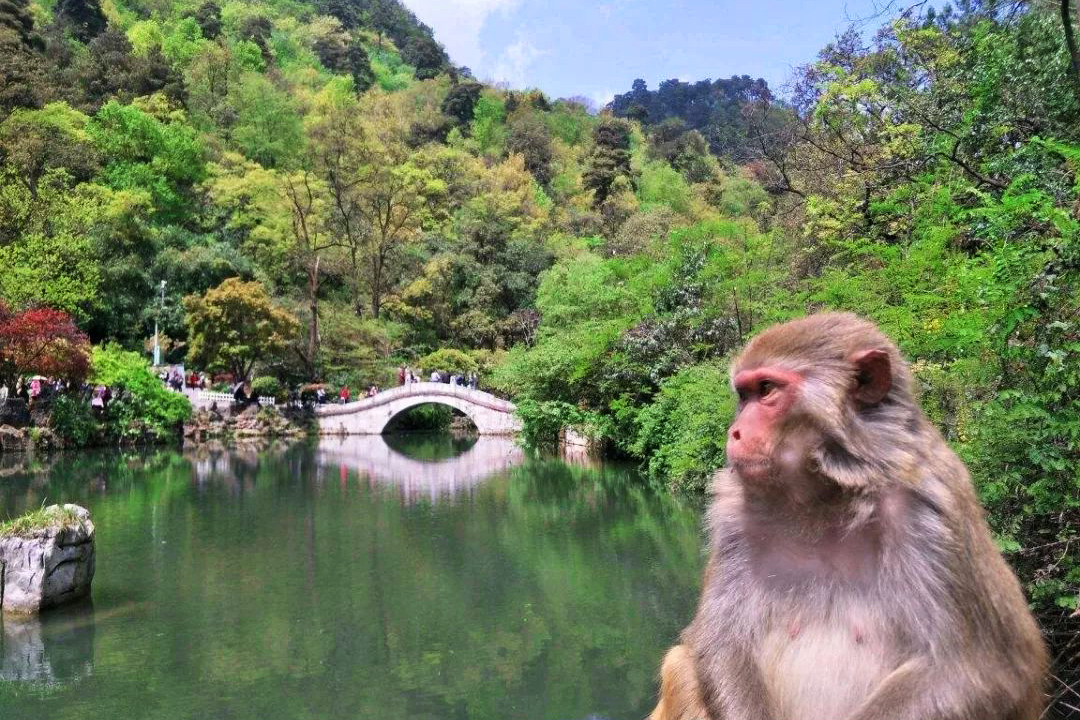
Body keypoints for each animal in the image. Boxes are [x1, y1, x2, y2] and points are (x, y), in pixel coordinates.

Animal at [648, 313, 1045, 720]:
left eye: (767, 389)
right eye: (744, 396)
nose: (735, 431)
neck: (827, 500)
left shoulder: (933, 508)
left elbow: (970, 670)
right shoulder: (734, 518)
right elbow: (720, 645)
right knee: (681, 666)